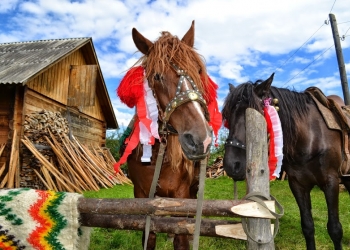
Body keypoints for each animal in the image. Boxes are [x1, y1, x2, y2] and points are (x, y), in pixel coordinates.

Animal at [116, 21, 220, 250]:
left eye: (198, 70)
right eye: (157, 76)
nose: (201, 139)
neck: (156, 159)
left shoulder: (181, 194)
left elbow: (181, 235)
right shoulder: (142, 197)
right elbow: (149, 236)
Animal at [221, 73, 350, 250]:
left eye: (255, 114)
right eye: (227, 116)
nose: (231, 165)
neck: (311, 137)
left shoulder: (331, 182)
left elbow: (335, 229)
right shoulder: (298, 185)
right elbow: (308, 227)